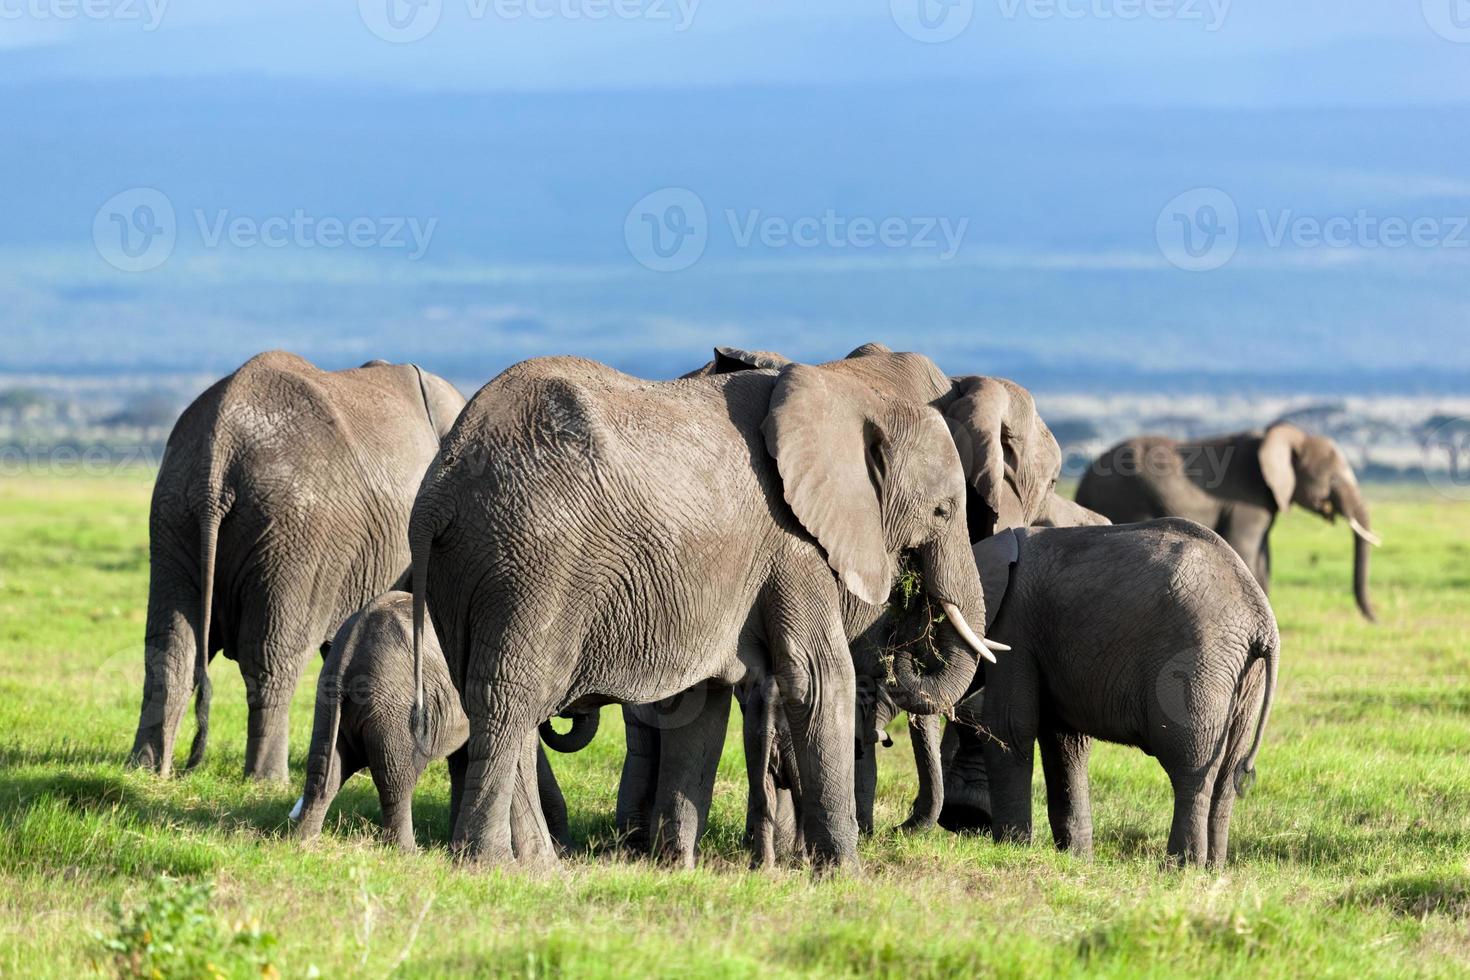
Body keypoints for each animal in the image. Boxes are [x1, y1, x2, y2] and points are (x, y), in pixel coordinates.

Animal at [133, 352, 464, 781]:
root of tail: (219, 452)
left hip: (175, 511)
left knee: (171, 649)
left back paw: (146, 769)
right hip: (296, 532)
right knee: (272, 655)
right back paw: (268, 780)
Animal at [289, 590, 593, 852]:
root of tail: (349, 653)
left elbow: (464, 762)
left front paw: (454, 848)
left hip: (329, 700)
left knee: (325, 769)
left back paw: (304, 843)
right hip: (392, 708)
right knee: (396, 778)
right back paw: (407, 853)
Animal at [408, 348, 1005, 869]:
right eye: (943, 510)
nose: (910, 633)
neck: (852, 390)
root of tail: (442, 486)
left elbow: (701, 705)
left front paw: (678, 868)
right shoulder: (794, 543)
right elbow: (818, 679)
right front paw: (846, 875)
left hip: (465, 573)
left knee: (495, 702)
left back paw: (538, 869)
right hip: (531, 565)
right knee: (509, 702)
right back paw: (492, 866)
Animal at [946, 517, 1281, 869]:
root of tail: (1262, 620)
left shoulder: (1013, 625)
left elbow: (1009, 725)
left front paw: (1012, 849)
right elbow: (1066, 742)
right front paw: (1076, 859)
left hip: (1199, 661)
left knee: (1191, 766)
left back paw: (1180, 869)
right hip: (1244, 677)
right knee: (1227, 773)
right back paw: (1212, 870)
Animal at [1081, 423, 1375, 620]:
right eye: (1333, 481)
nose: (1375, 620)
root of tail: (1086, 478)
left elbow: (1263, 555)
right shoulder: (1247, 498)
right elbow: (1244, 545)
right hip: (1127, 496)